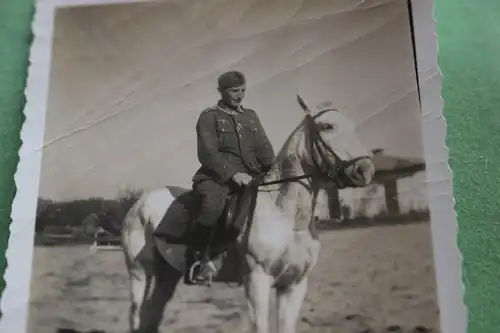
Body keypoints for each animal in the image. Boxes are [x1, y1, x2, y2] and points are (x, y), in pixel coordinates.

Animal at [121, 94, 376, 330]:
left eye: (352, 125)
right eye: (327, 126)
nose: (365, 170)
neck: (286, 216)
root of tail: (139, 203)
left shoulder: (294, 285)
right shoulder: (257, 281)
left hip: (167, 276)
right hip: (139, 274)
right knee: (137, 317)